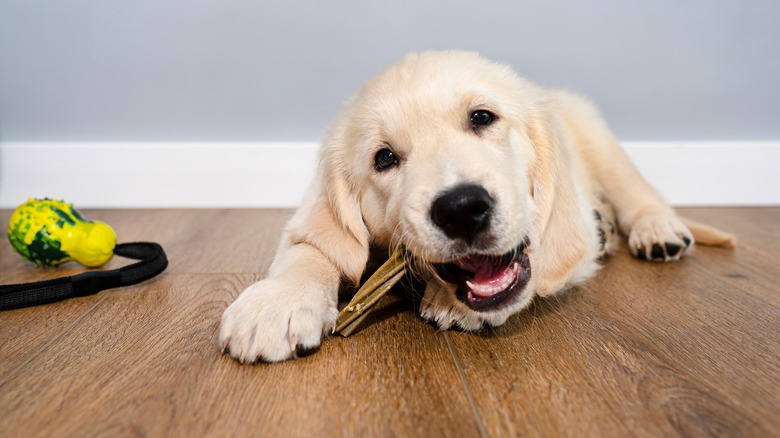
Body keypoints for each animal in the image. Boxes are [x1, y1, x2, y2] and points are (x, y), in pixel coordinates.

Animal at [218, 50, 732, 362]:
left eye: (482, 117)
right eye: (384, 158)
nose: (462, 209)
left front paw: (451, 300)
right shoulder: (311, 217)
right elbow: (312, 248)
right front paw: (277, 302)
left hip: (597, 137)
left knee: (637, 191)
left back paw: (657, 230)